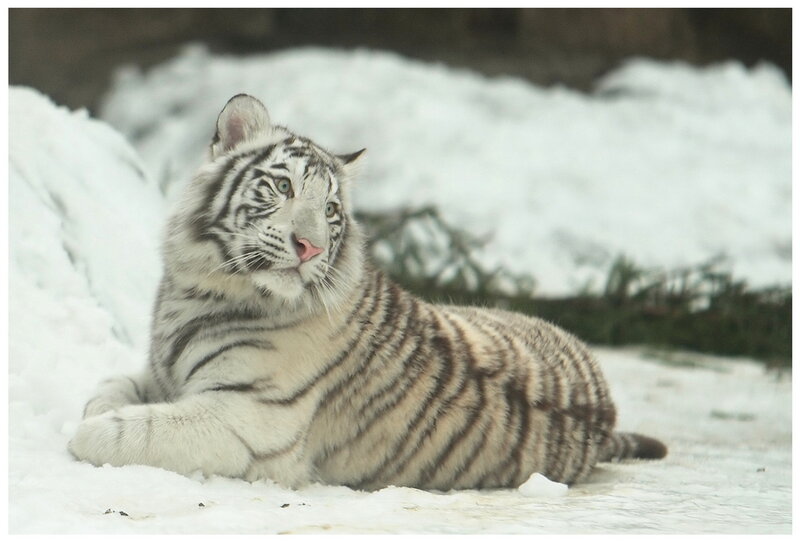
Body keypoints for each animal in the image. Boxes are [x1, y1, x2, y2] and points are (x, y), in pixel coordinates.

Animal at [68, 94, 666, 491]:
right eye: (282, 186)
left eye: (331, 210)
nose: (310, 246)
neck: (203, 290)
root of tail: (605, 415)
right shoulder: (160, 370)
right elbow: (109, 386)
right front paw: (96, 408)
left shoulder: (247, 418)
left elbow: (133, 431)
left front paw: (81, 438)